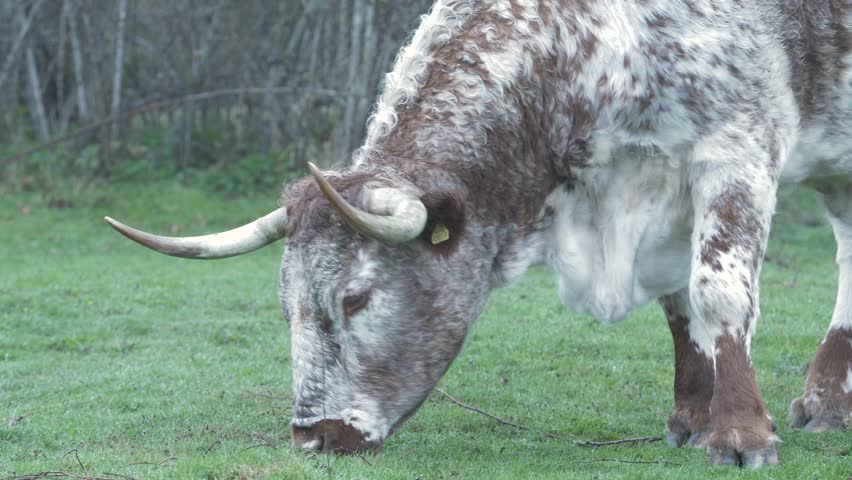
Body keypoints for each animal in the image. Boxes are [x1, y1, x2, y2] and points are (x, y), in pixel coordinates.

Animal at [105, 0, 852, 468]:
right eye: (286, 307)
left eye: (355, 299)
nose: (314, 437)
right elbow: (678, 306)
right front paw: (692, 417)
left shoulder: (735, 151)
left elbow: (718, 292)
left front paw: (739, 433)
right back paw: (828, 400)